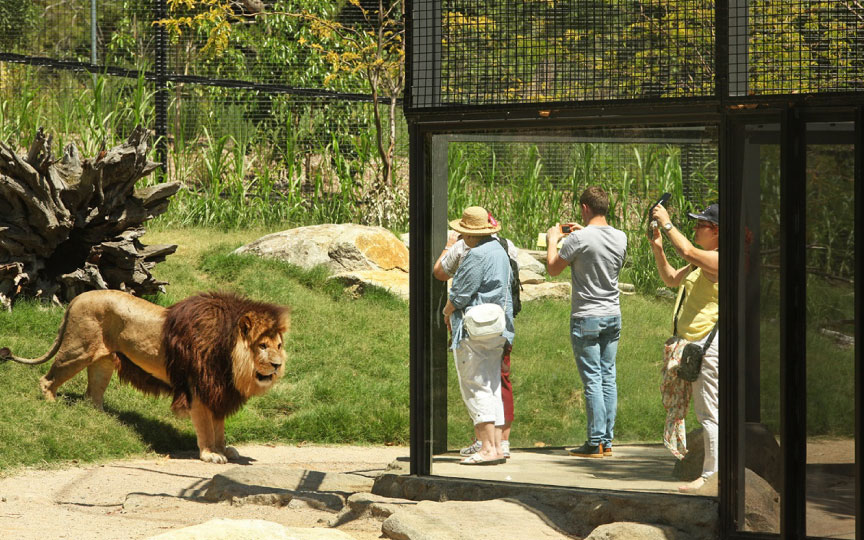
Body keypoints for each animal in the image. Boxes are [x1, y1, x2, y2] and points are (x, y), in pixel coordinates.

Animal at [0, 290, 291, 464]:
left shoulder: (217, 390)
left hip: (103, 361)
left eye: (278, 345)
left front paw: (224, 449)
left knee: (92, 393)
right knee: (48, 379)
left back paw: (101, 418)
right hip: (77, 350)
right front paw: (210, 454)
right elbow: (206, 427)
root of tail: (78, 296)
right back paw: (52, 405)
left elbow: (218, 427)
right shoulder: (198, 389)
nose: (277, 366)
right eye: (262, 346)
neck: (230, 357)